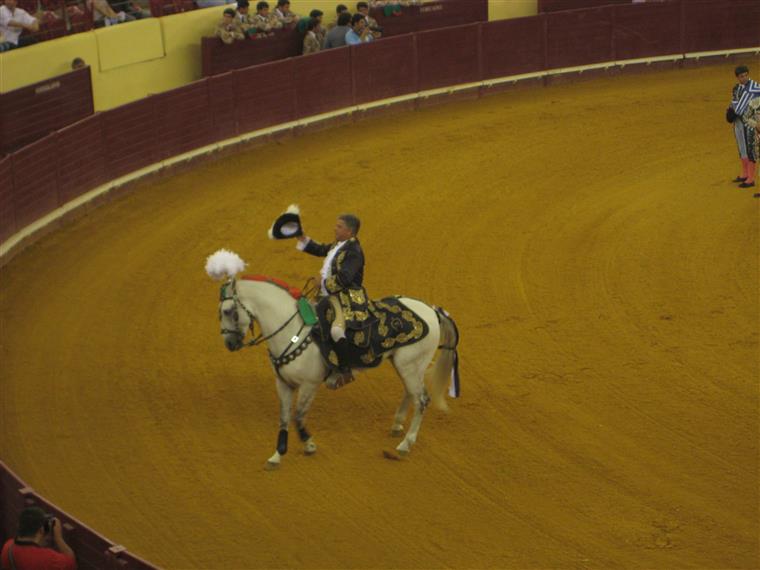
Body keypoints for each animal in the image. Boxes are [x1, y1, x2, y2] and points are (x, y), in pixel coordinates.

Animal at [205, 248, 460, 466]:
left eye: (228, 311)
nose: (230, 344)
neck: (292, 330)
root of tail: (432, 310)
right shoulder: (283, 383)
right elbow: (284, 418)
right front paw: (277, 455)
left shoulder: (309, 384)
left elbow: (298, 416)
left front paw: (309, 445)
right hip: (404, 364)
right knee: (411, 393)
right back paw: (397, 426)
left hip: (411, 365)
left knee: (422, 399)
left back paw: (405, 443)